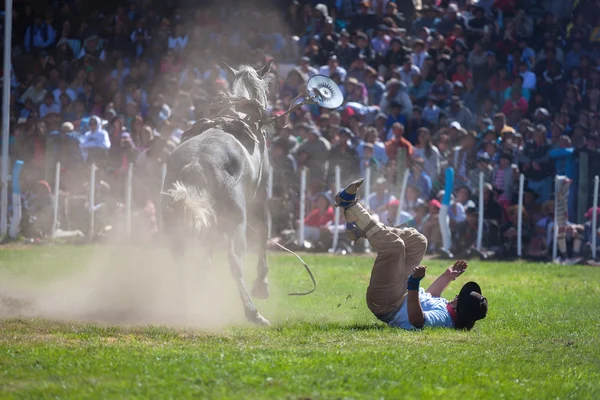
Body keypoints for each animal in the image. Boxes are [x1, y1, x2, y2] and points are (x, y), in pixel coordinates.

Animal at [159, 61, 272, 324]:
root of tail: (197, 162)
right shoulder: (260, 198)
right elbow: (263, 232)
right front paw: (262, 284)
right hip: (236, 222)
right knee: (234, 261)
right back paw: (252, 312)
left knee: (180, 256)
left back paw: (184, 304)